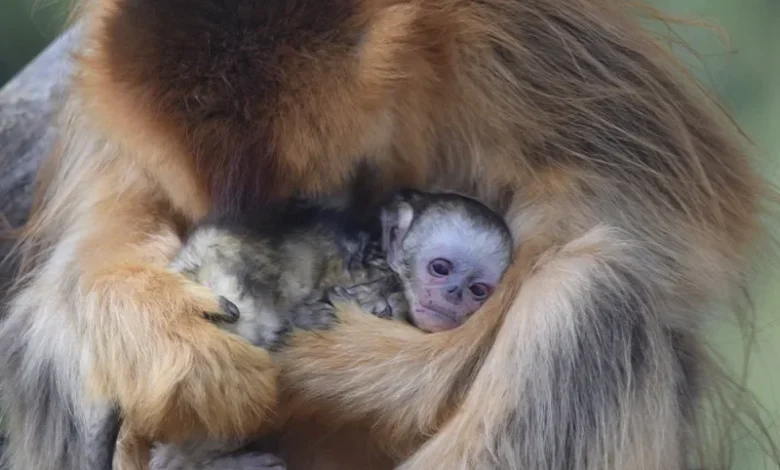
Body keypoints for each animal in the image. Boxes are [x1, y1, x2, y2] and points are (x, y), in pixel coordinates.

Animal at [0, 0, 775, 470]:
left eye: (312, 202)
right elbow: (94, 244)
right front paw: (173, 345)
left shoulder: (521, 32)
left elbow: (672, 233)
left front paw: (350, 366)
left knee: (594, 289)